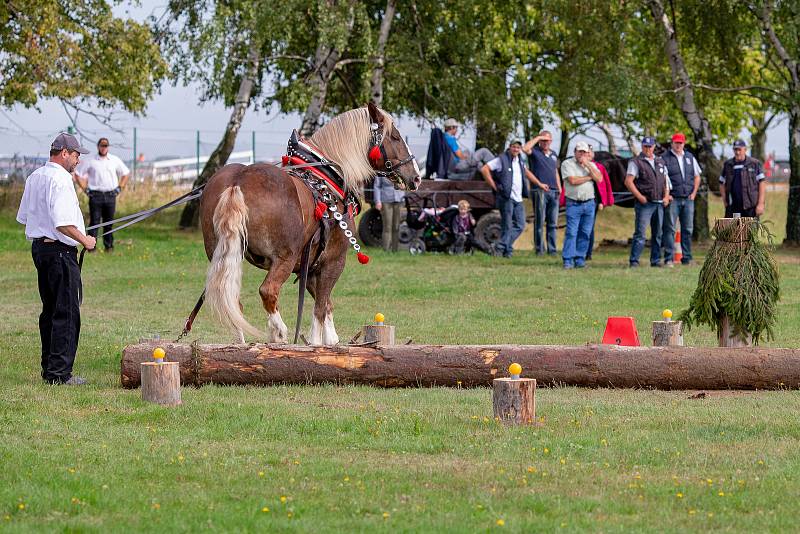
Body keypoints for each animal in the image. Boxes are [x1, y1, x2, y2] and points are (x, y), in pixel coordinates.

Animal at [198, 104, 418, 348]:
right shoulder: (333, 260)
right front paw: (316, 342)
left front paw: (331, 339)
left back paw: (241, 342)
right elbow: (320, 307)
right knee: (268, 291)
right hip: (284, 257)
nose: (416, 177)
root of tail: (238, 181)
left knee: (231, 298)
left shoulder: (311, 265)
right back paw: (278, 332)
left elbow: (326, 303)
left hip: (225, 255)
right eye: (395, 137)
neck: (328, 178)